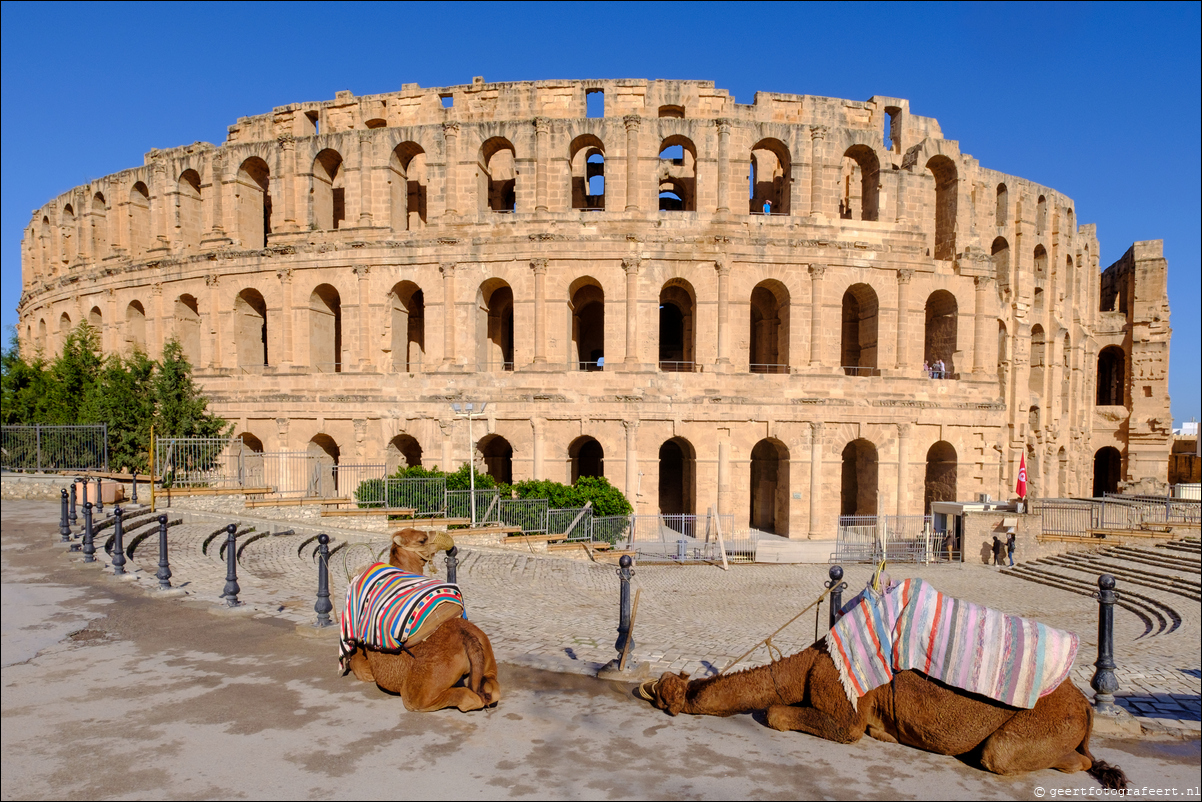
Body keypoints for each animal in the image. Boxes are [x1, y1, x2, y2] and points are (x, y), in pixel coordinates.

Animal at [343, 529, 502, 711]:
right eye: (421, 540)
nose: (446, 540)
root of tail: (468, 638)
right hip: (486, 660)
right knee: (491, 690)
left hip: (425, 682)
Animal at [649, 639, 1125, 788]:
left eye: (667, 691)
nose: (650, 686)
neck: (808, 661)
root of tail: (1085, 706)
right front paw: (888, 733)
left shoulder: (844, 709)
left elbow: (776, 715)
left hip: (1044, 725)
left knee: (1002, 755)